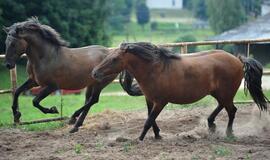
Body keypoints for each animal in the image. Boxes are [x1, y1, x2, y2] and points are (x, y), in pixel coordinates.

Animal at [3, 17, 138, 132]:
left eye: (13, 44)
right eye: (6, 42)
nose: (8, 65)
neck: (45, 57)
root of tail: (113, 53)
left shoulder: (52, 86)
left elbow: (35, 101)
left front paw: (53, 110)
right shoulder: (34, 81)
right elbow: (17, 92)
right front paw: (16, 114)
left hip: (101, 82)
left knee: (93, 100)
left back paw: (73, 119)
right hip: (91, 83)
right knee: (89, 100)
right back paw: (76, 124)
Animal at [92, 42, 268, 141]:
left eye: (114, 59)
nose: (94, 72)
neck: (154, 69)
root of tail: (238, 59)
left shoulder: (161, 102)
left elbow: (149, 120)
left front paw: (139, 138)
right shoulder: (150, 100)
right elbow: (151, 118)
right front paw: (157, 135)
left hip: (225, 93)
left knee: (232, 110)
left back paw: (228, 133)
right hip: (219, 93)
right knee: (223, 107)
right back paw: (211, 125)